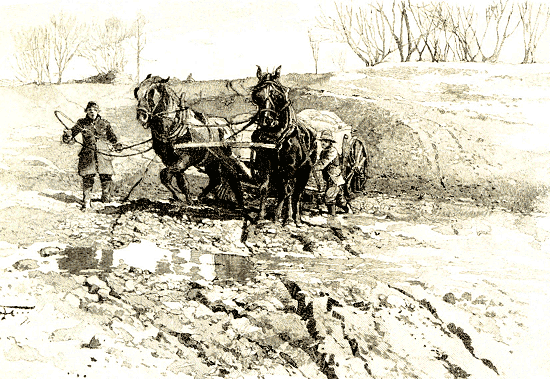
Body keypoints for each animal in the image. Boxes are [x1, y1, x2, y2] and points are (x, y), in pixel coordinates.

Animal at [134, 74, 246, 209]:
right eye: (136, 91)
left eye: (152, 92)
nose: (141, 116)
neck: (173, 126)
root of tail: (228, 128)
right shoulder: (170, 160)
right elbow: (181, 181)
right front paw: (187, 199)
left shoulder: (185, 158)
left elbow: (164, 175)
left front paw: (180, 196)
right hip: (212, 161)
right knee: (216, 179)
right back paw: (200, 197)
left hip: (229, 159)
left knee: (234, 175)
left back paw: (241, 203)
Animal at [251, 66, 320, 226]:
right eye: (257, 95)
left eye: (277, 95)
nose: (266, 120)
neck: (277, 135)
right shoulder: (265, 164)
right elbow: (264, 188)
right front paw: (261, 216)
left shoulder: (290, 167)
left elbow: (288, 191)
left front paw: (284, 217)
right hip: (279, 172)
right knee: (285, 191)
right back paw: (282, 216)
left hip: (304, 171)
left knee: (296, 193)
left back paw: (296, 217)